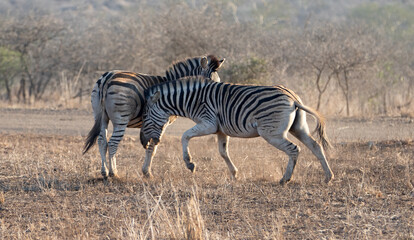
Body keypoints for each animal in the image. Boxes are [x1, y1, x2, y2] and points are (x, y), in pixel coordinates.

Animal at [82, 55, 225, 179]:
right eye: (209, 81)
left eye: (218, 82)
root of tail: (107, 78)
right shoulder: (162, 121)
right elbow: (153, 146)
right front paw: (147, 172)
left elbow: (151, 144)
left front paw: (146, 171)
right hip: (121, 118)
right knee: (112, 143)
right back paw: (114, 173)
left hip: (101, 117)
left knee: (102, 141)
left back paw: (104, 172)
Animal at [141, 77, 334, 184]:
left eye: (145, 116)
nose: (144, 142)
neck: (191, 99)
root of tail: (293, 97)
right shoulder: (220, 130)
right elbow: (223, 152)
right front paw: (234, 174)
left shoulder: (209, 122)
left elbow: (185, 136)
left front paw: (190, 164)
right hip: (298, 128)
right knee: (315, 146)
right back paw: (328, 177)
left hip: (271, 133)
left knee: (294, 149)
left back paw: (285, 179)